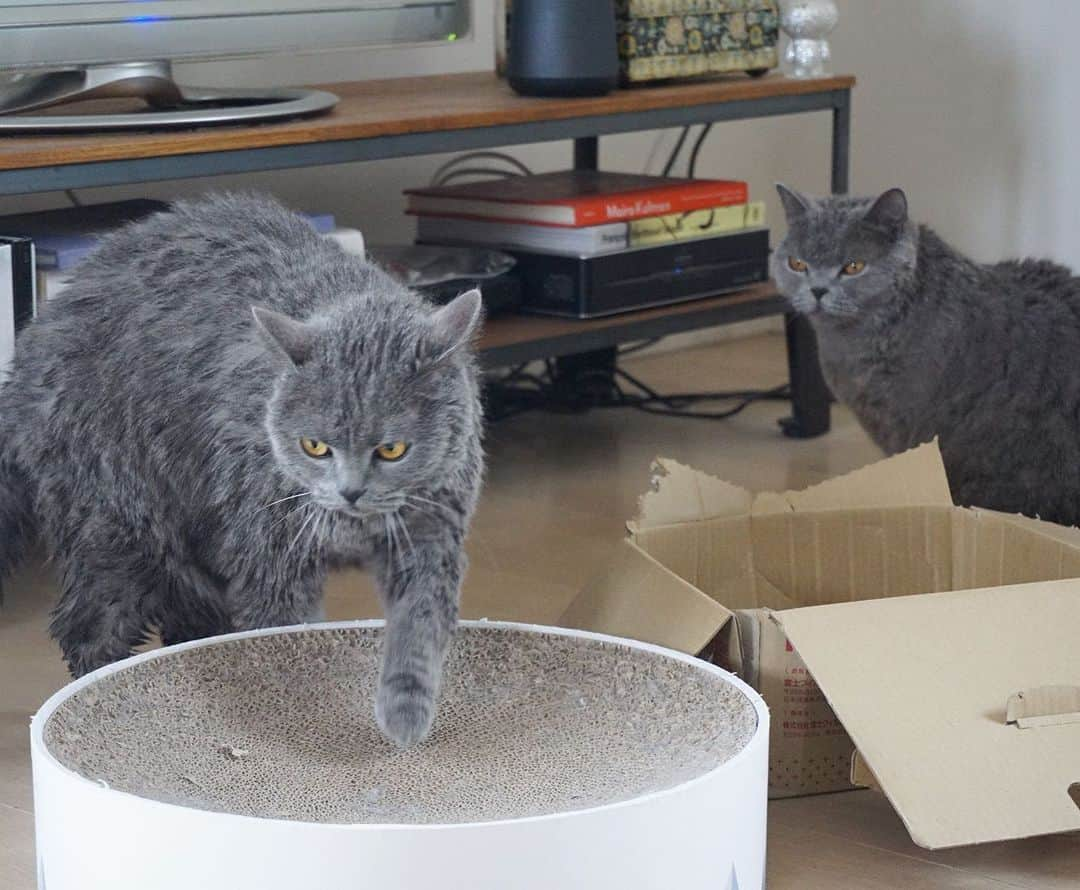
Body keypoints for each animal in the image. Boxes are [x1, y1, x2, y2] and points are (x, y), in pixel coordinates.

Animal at [0, 193, 486, 743]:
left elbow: (419, 632)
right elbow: (285, 641)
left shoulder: (431, 540)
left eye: (392, 450)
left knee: (185, 619)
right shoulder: (272, 561)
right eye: (314, 446)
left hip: (186, 547)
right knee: (88, 627)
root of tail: (26, 356)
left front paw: (406, 718)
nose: (350, 491)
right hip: (120, 523)